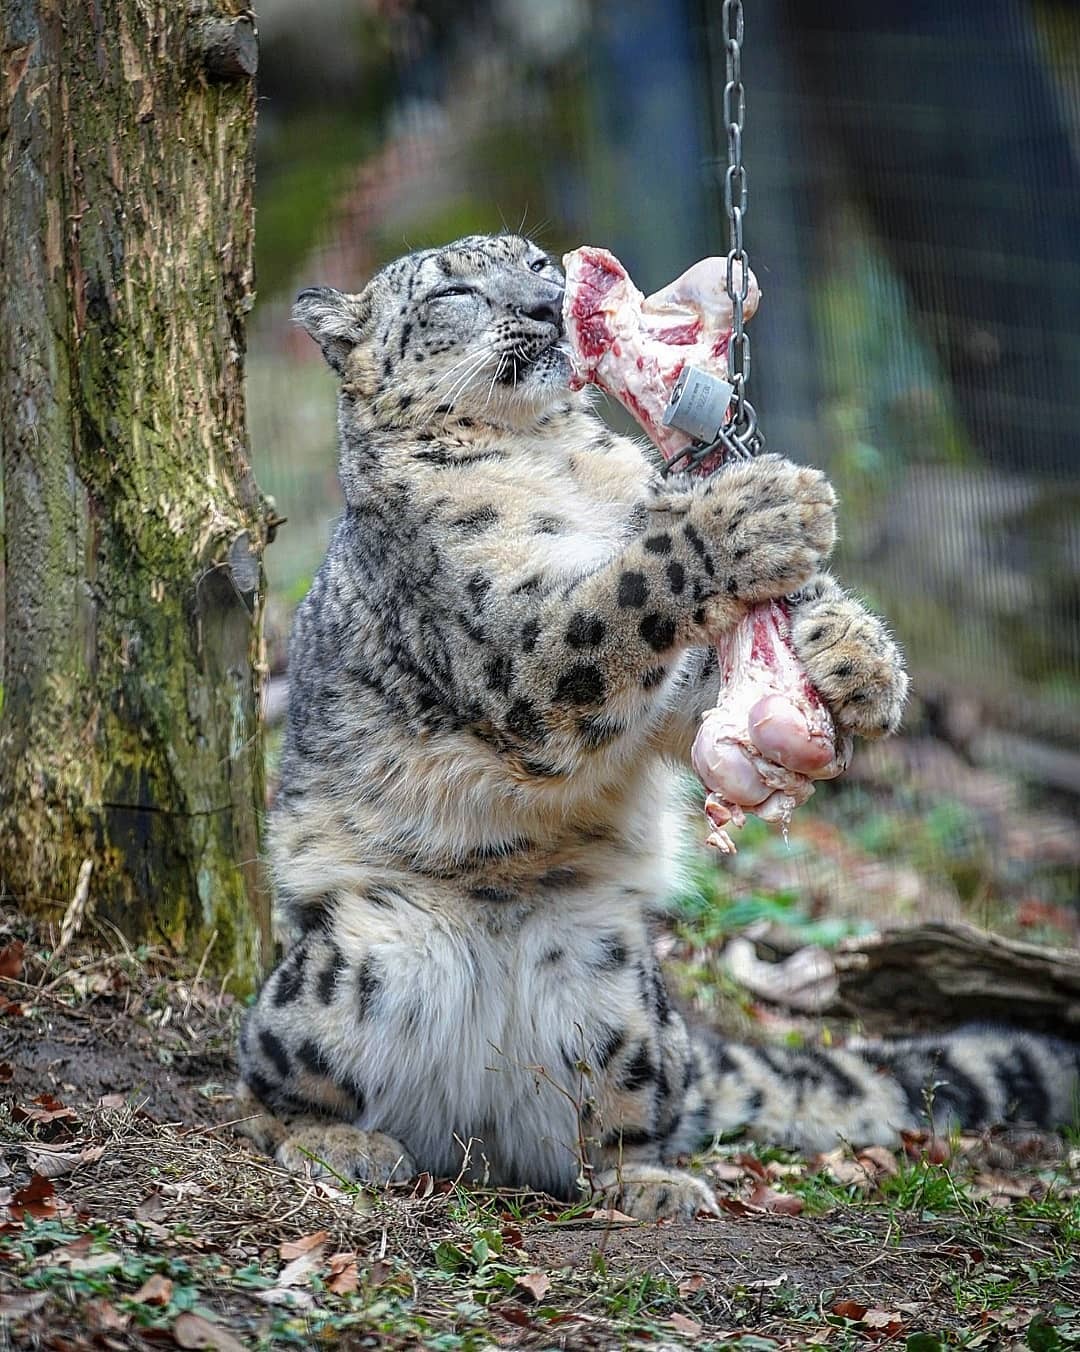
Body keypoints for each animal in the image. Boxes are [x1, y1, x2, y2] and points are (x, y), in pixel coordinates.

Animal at [239, 229, 1080, 1216]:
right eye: (453, 292)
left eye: (534, 261)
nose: (544, 302)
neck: (548, 453)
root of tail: (472, 1129)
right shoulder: (507, 638)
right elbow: (620, 597)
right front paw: (752, 516)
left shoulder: (667, 689)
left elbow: (700, 682)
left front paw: (856, 659)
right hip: (352, 961)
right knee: (266, 1078)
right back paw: (336, 1143)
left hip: (617, 993)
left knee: (614, 1127)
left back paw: (651, 1182)